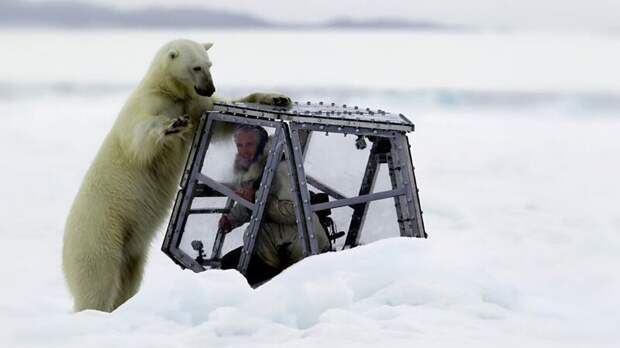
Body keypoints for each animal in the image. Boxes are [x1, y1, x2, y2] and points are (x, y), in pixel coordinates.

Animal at [61, 38, 290, 312]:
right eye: (196, 67)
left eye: (209, 64)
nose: (209, 88)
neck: (167, 90)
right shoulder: (149, 105)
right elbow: (141, 137)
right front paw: (173, 125)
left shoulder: (195, 105)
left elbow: (224, 119)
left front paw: (276, 98)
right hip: (101, 233)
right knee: (98, 280)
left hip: (131, 249)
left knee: (129, 277)